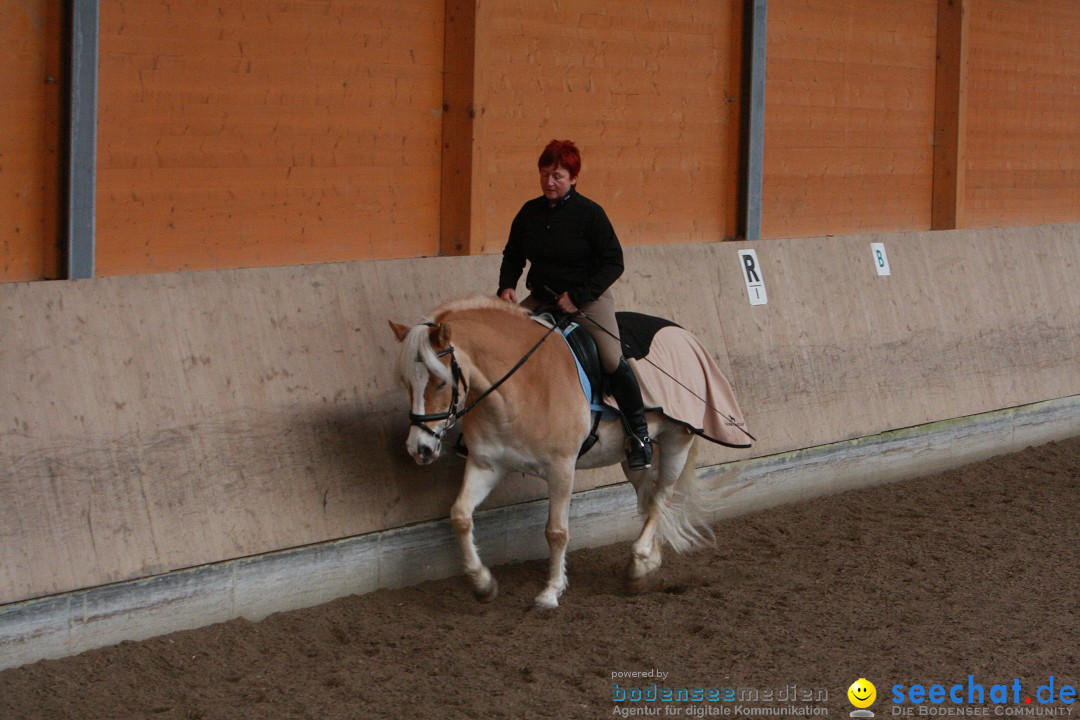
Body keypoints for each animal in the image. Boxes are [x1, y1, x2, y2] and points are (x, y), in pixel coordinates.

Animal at [388, 297, 725, 608]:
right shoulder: (487, 464)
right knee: (647, 494)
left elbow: (556, 531)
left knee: (660, 497)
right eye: (406, 382)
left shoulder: (561, 467)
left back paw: (638, 565)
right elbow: (460, 515)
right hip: (632, 457)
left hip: (677, 439)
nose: (419, 449)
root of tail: (685, 335)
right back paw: (647, 562)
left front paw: (551, 591)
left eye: (439, 382)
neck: (519, 386)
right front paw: (483, 584)